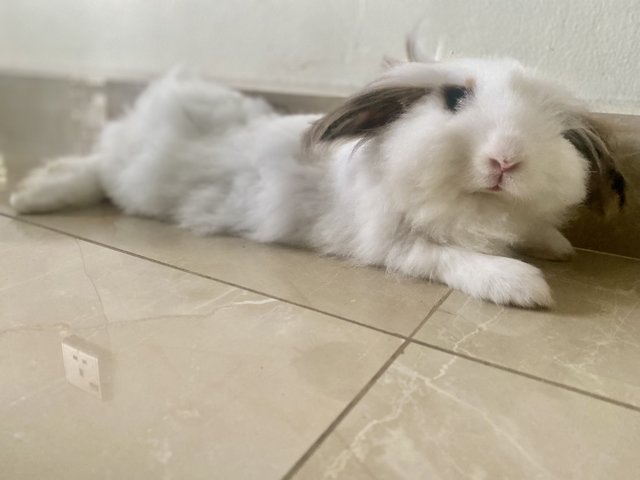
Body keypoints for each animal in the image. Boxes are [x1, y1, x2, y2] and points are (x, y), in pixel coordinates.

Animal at [10, 46, 624, 308]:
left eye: (559, 130)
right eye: (454, 98)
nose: (505, 160)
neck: (473, 203)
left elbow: (531, 233)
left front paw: (557, 245)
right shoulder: (398, 245)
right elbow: (457, 259)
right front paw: (523, 286)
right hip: (137, 178)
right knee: (94, 170)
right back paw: (29, 196)